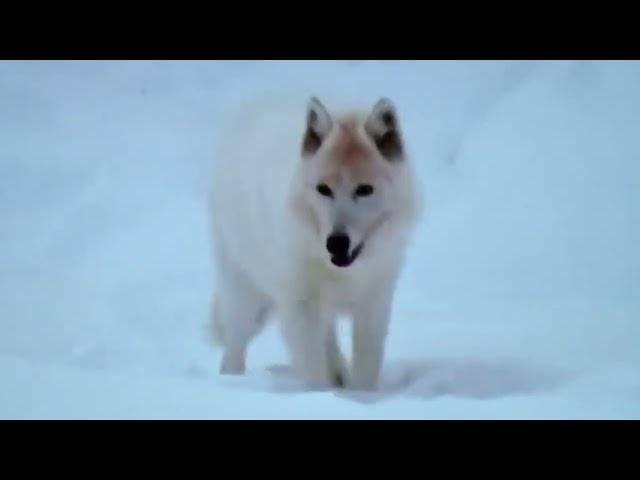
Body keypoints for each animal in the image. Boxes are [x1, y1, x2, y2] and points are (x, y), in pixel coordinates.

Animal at [209, 93, 420, 390]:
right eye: (324, 189)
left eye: (364, 190)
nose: (337, 242)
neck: (340, 271)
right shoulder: (299, 306)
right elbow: (313, 371)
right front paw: (322, 396)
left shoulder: (374, 303)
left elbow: (366, 366)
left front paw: (360, 395)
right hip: (247, 298)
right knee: (232, 351)